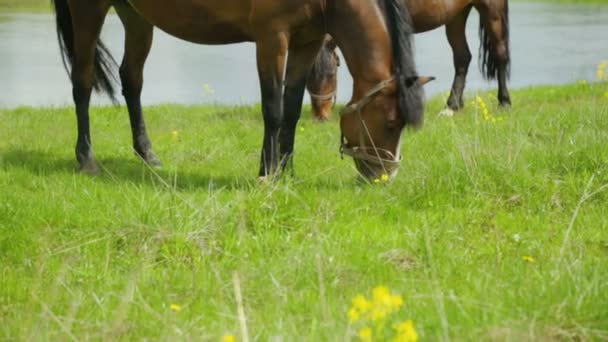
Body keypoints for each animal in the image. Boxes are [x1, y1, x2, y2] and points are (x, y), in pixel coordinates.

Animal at [52, 0, 430, 182]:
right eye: (392, 122)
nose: (384, 176)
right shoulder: (271, 38)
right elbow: (273, 109)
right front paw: (267, 172)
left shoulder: (306, 42)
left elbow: (292, 109)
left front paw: (287, 171)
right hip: (88, 10)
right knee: (82, 82)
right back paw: (87, 159)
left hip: (137, 16)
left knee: (132, 80)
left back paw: (149, 155)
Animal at [306, 0, 510, 120]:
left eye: (331, 73)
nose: (320, 116)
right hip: (456, 15)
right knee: (462, 58)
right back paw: (452, 107)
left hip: (492, 10)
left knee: (500, 54)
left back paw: (504, 103)